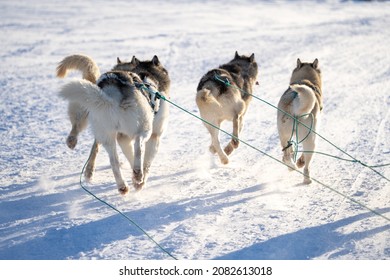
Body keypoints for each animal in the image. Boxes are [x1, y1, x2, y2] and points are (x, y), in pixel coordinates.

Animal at [56, 54, 171, 190]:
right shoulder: (154, 136)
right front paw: (140, 182)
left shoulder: (121, 137)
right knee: (138, 146)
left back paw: (122, 186)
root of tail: (110, 94)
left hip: (105, 132)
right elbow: (146, 161)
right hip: (144, 127)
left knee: (112, 159)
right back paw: (138, 175)